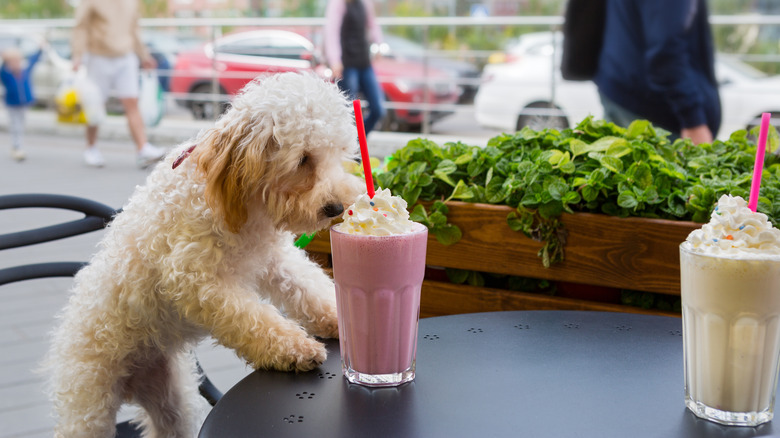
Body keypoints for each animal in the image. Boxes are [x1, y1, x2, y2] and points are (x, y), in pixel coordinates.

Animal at [45, 73, 366, 436]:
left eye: (340, 154)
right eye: (303, 160)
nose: (336, 208)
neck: (236, 201)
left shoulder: (275, 260)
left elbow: (308, 287)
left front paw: (340, 318)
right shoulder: (195, 279)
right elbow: (252, 318)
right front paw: (295, 348)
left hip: (172, 400)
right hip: (89, 405)